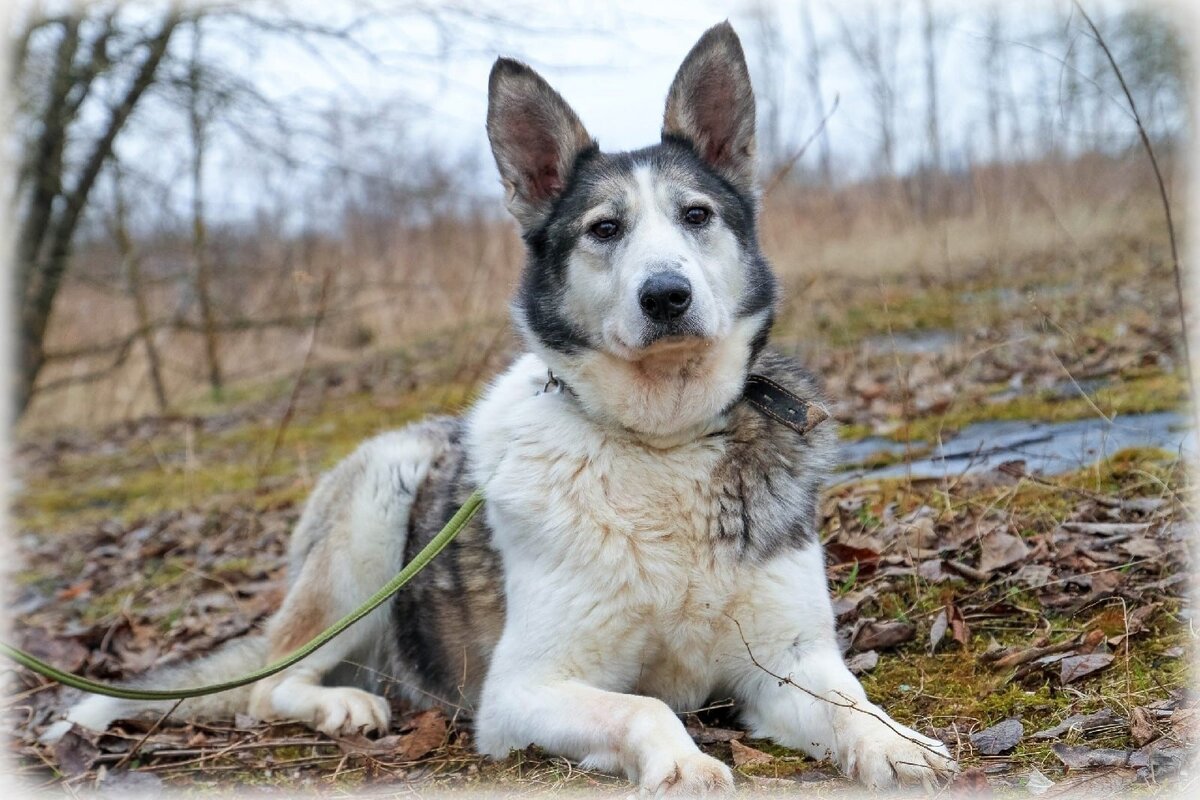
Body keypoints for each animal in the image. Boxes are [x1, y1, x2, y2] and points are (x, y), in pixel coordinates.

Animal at [44, 25, 955, 796]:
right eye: (604, 230)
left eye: (696, 216)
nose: (667, 294)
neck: (659, 442)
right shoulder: (522, 690)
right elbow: (646, 706)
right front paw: (682, 763)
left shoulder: (788, 660)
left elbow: (851, 705)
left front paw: (897, 744)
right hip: (379, 508)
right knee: (271, 685)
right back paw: (344, 706)